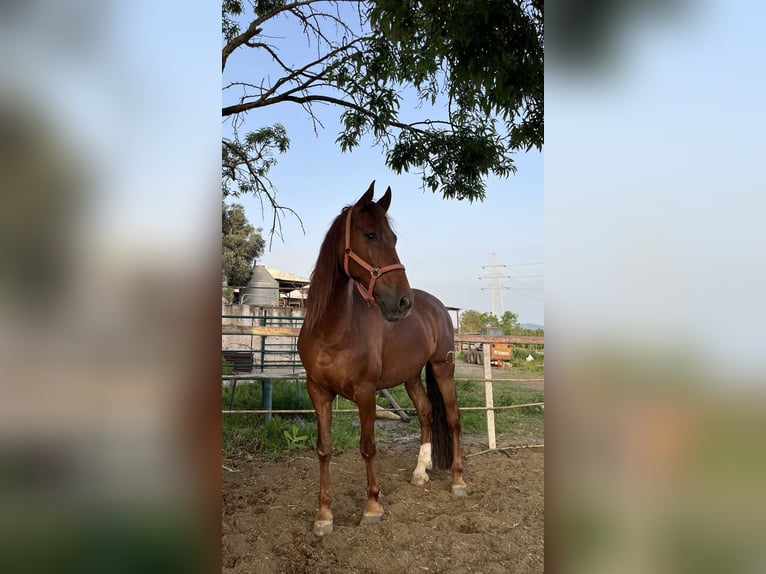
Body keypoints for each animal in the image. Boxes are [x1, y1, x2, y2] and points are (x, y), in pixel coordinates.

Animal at [297, 181, 467, 537]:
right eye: (372, 235)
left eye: (394, 238)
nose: (402, 301)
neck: (332, 329)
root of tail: (436, 306)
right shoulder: (317, 391)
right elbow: (324, 449)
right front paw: (324, 515)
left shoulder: (365, 393)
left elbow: (368, 447)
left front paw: (372, 506)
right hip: (412, 376)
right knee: (427, 413)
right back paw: (420, 472)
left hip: (443, 368)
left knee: (453, 418)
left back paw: (458, 481)